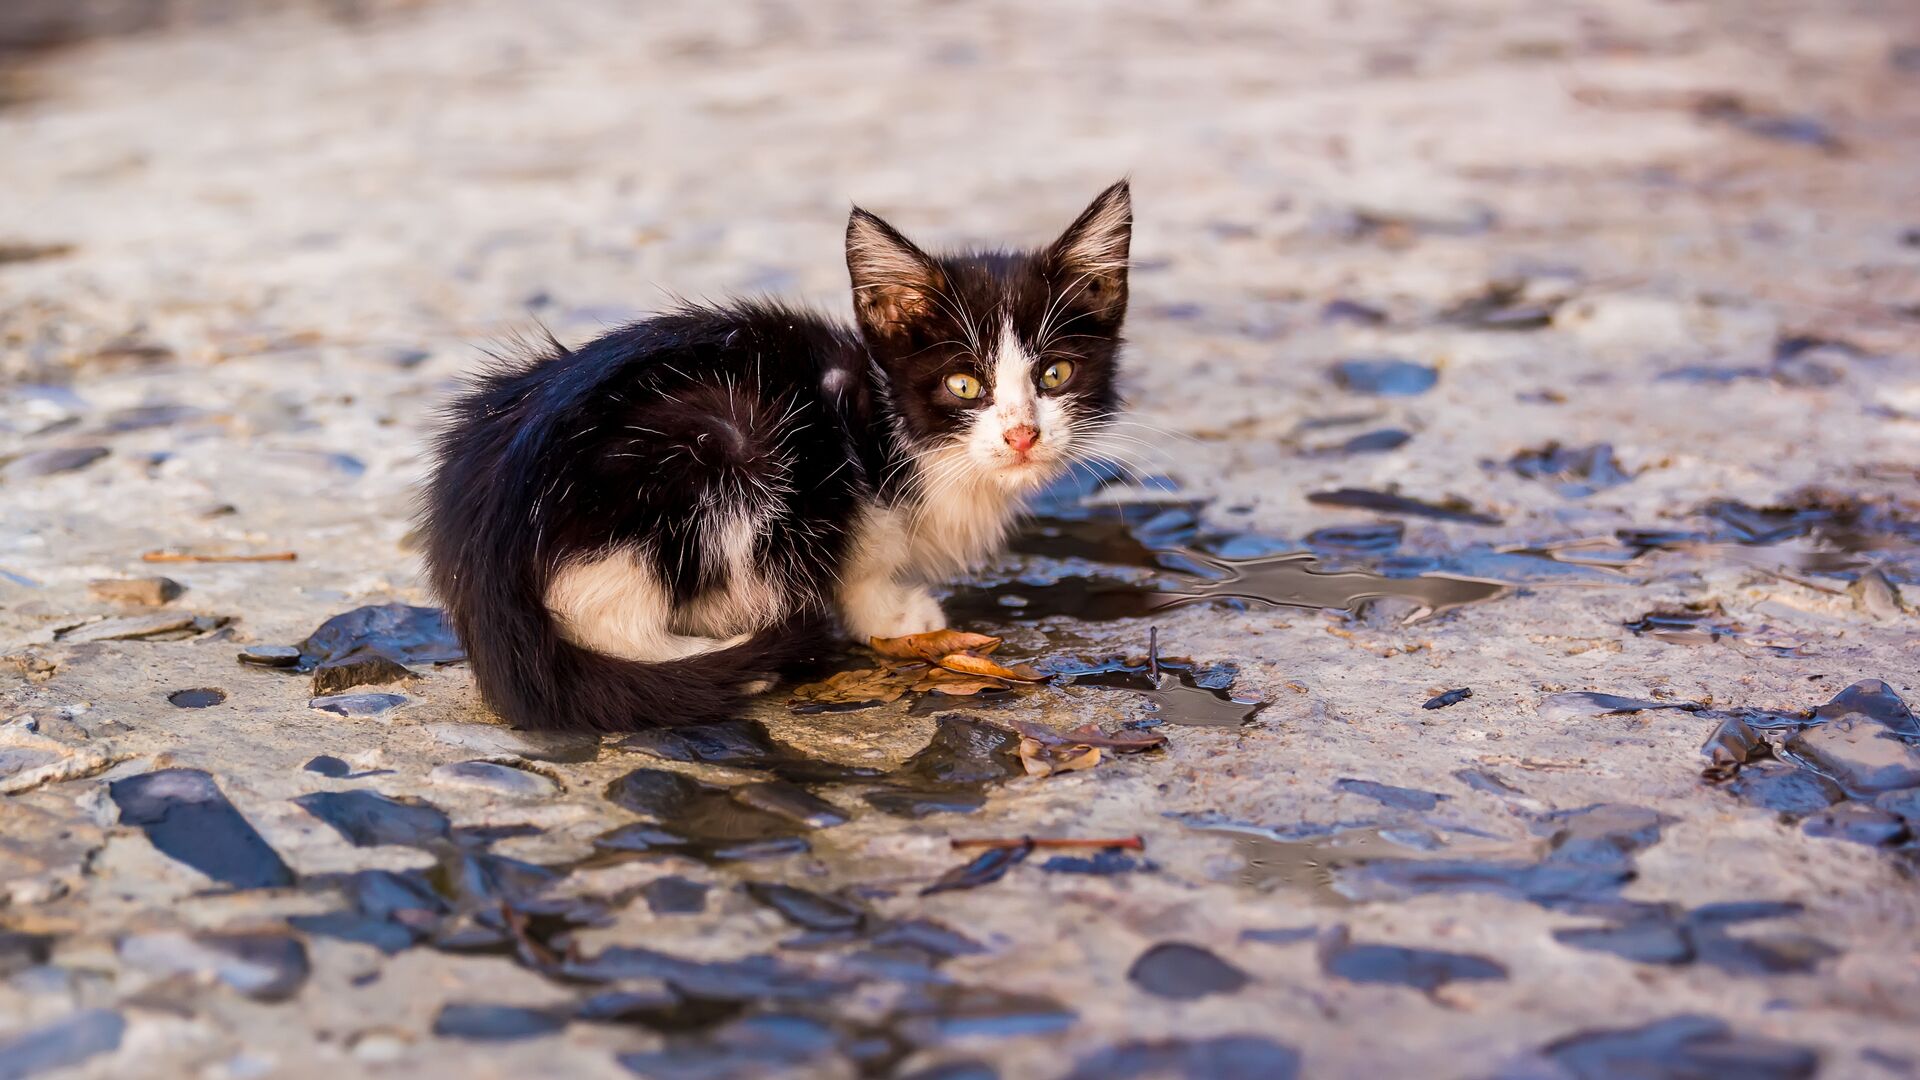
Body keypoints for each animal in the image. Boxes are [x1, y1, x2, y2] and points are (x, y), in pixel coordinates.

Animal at [424, 180, 1121, 730]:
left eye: (1055, 374)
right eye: (964, 386)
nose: (1022, 435)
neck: (900, 427)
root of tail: (484, 564)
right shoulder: (842, 456)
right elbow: (863, 552)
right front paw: (897, 615)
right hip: (722, 448)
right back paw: (734, 658)